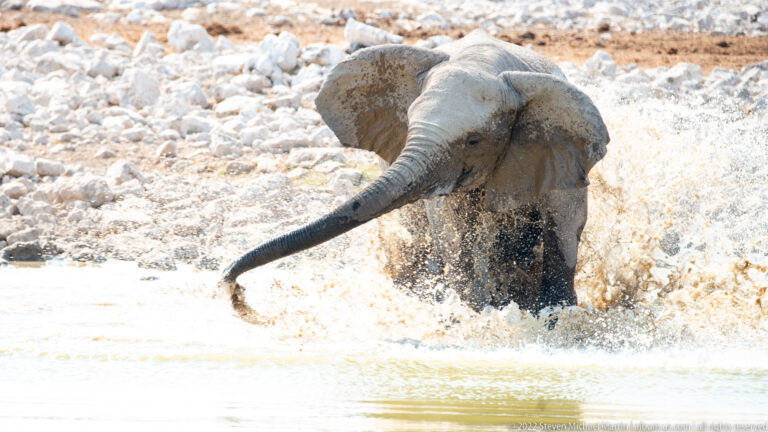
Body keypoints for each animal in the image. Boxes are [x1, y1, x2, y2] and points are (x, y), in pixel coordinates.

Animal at [219, 30, 609, 324]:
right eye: (409, 122)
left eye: (474, 140)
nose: (236, 294)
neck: (483, 61)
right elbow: (455, 234)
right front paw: (481, 316)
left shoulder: (561, 151)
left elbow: (565, 223)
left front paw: (554, 319)